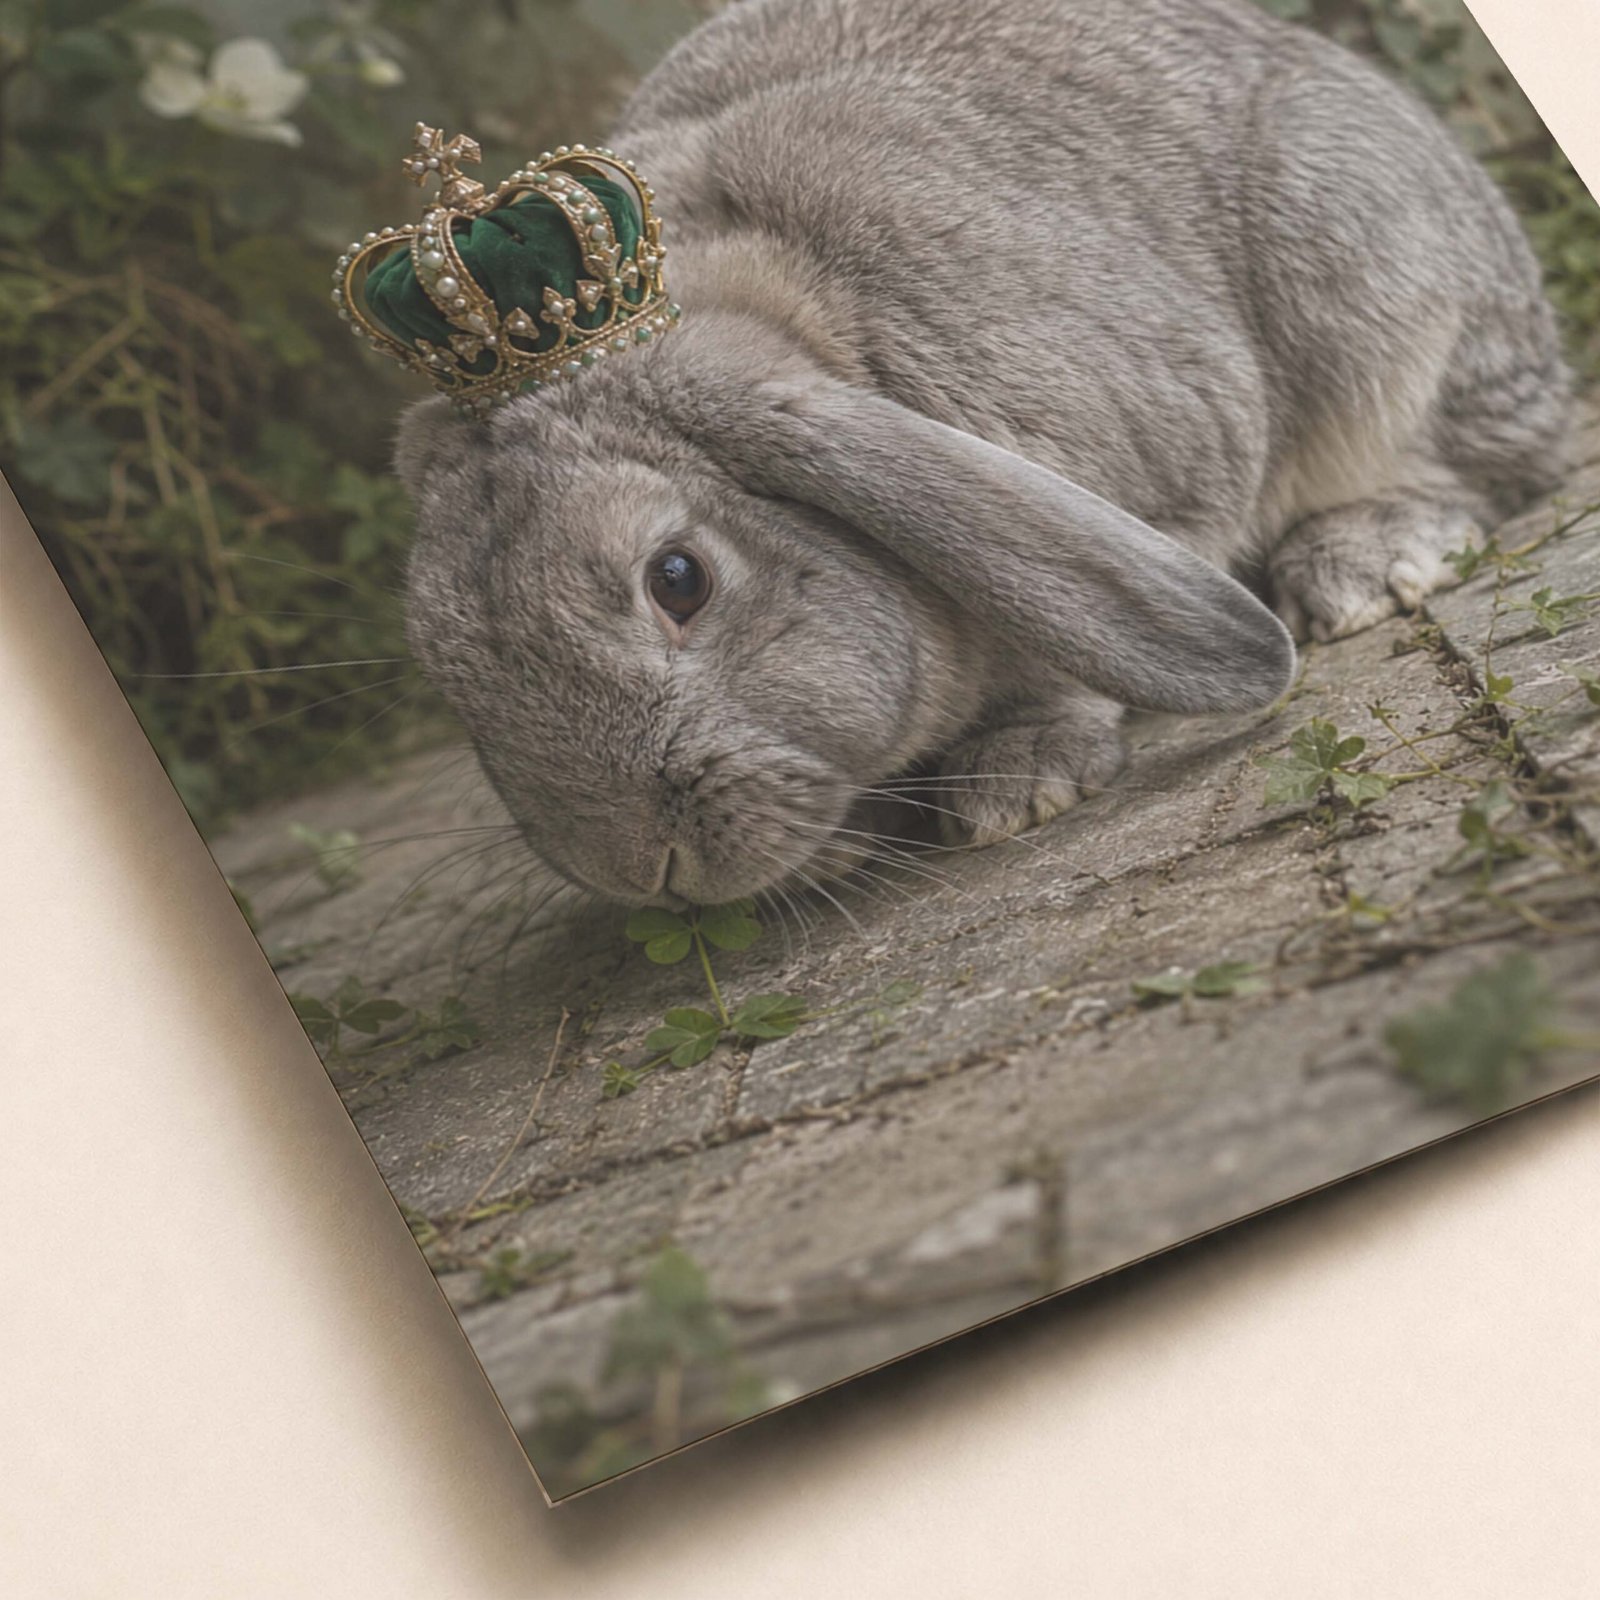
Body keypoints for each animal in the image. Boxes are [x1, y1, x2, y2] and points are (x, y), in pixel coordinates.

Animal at [393, 0, 1571, 907]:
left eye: (677, 580)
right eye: (444, 661)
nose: (640, 871)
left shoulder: (1175, 473)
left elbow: (1058, 645)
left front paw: (1014, 782)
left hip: (1363, 278)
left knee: (1482, 463)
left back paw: (1358, 564)